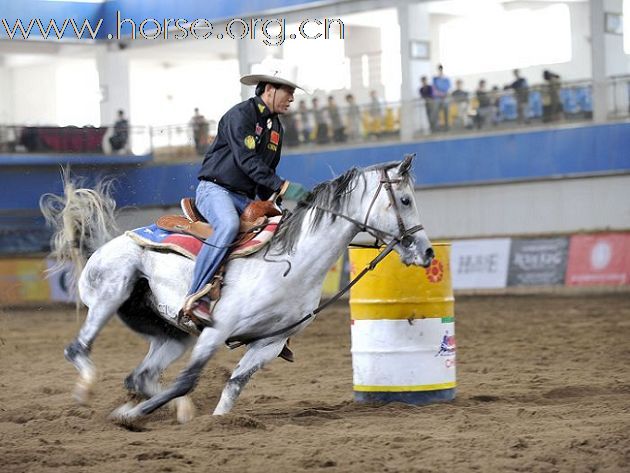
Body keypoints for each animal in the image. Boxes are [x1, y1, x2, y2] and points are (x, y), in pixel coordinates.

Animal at [42, 153, 432, 426]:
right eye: (406, 200)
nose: (426, 251)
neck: (292, 262)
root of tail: (107, 243)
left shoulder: (270, 341)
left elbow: (234, 384)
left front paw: (217, 421)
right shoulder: (217, 330)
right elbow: (187, 380)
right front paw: (129, 416)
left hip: (172, 334)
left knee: (139, 376)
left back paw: (180, 411)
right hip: (111, 292)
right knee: (77, 348)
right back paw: (88, 388)